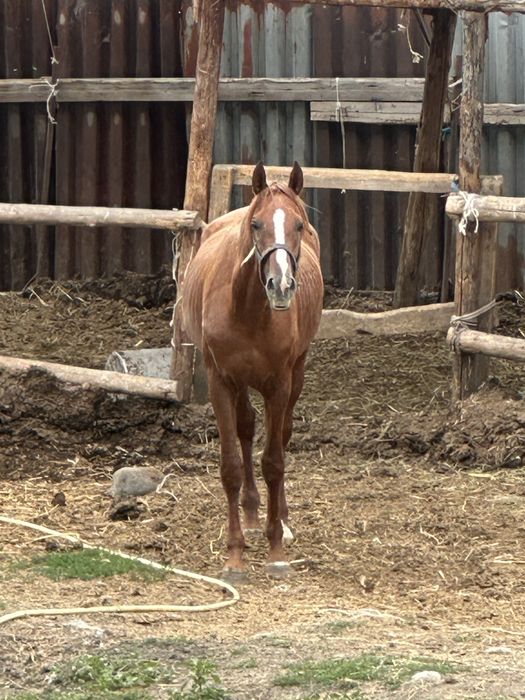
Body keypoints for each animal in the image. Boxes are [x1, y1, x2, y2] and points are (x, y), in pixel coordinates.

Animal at [182, 162, 323, 580]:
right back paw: (249, 515)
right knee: (246, 430)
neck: (245, 310)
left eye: (298, 225)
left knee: (283, 435)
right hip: (241, 384)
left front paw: (276, 550)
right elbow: (231, 464)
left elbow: (274, 461)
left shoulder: (279, 384)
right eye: (256, 224)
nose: (281, 285)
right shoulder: (221, 381)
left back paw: (282, 519)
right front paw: (235, 555)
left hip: (297, 372)